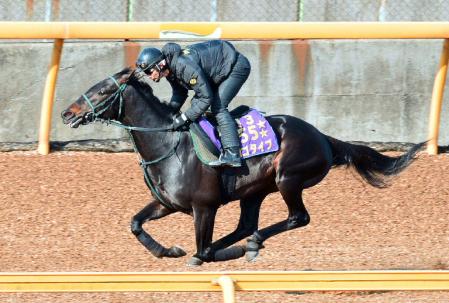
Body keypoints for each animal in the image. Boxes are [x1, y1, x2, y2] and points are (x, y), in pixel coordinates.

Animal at [61, 67, 422, 266]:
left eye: (103, 90)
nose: (66, 113)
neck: (168, 145)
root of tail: (323, 137)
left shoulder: (204, 207)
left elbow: (203, 248)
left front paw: (204, 254)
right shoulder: (168, 203)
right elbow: (136, 224)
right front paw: (169, 251)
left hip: (288, 178)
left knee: (297, 218)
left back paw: (250, 245)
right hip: (254, 191)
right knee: (247, 225)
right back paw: (247, 244)